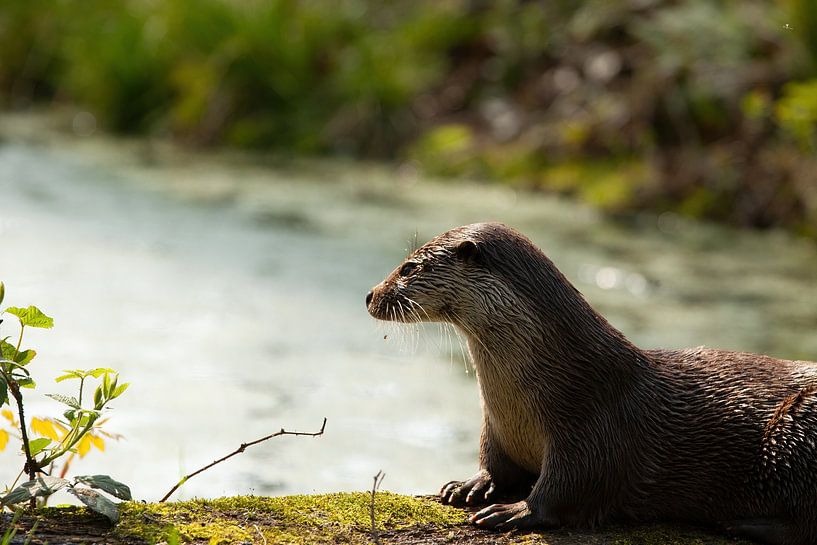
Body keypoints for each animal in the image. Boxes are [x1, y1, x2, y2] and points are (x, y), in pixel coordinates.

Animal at [366, 222, 817, 545]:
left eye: (408, 267)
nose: (370, 295)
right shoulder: (496, 427)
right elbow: (495, 463)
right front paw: (471, 484)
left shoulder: (592, 429)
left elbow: (571, 489)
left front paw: (515, 511)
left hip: (797, 429)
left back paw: (743, 524)